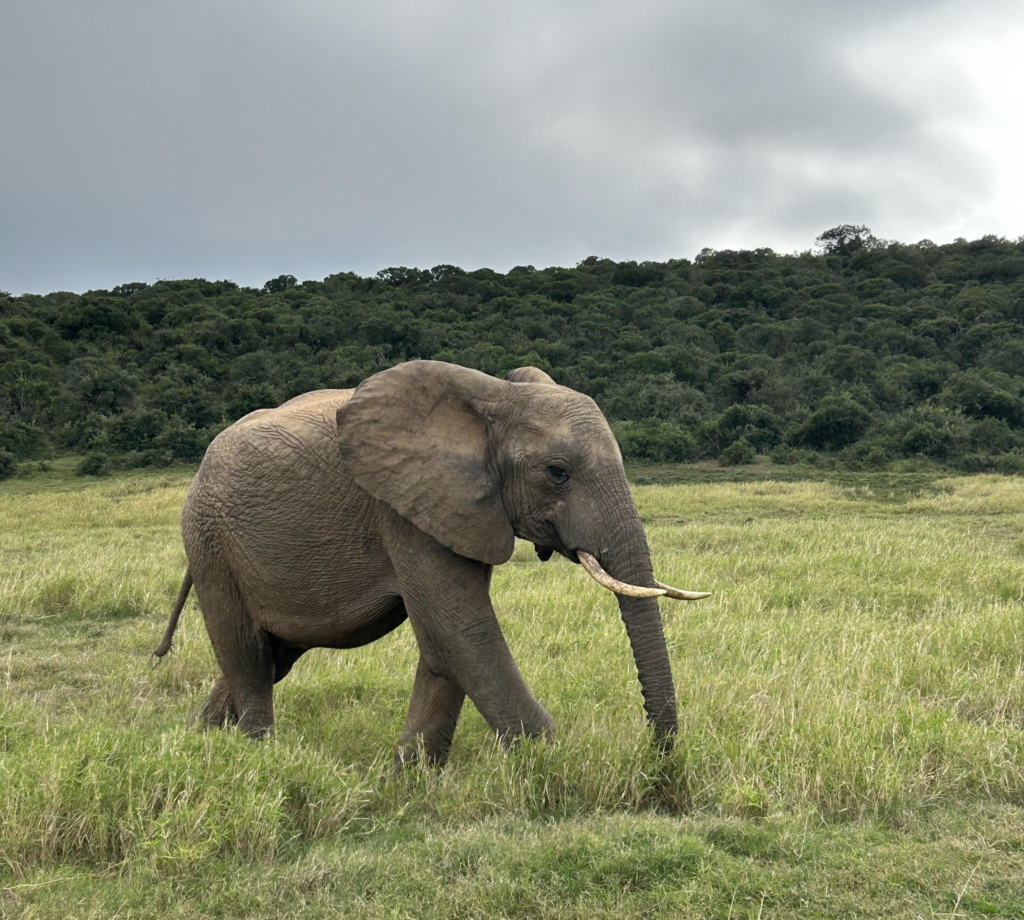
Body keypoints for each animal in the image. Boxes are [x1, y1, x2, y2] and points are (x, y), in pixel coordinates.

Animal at [154, 360, 708, 765]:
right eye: (557, 472)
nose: (658, 761)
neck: (492, 401)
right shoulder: (402, 507)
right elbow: (463, 631)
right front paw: (552, 766)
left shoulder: (461, 510)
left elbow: (442, 643)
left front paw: (411, 773)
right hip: (209, 537)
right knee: (247, 653)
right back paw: (257, 756)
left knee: (274, 656)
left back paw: (199, 744)